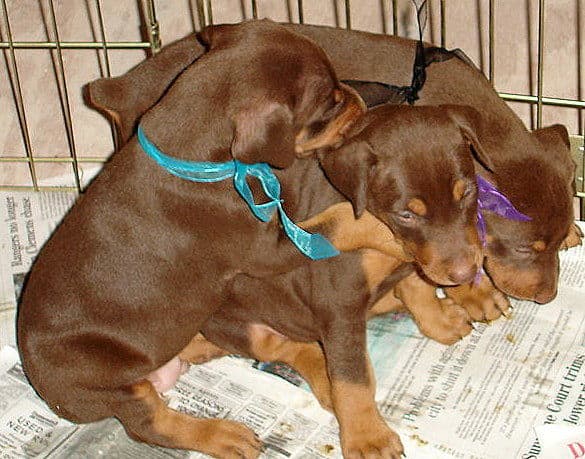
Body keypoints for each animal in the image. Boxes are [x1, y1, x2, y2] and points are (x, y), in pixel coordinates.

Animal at [17, 19, 364, 458]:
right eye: (329, 104)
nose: (359, 100)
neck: (192, 153)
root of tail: (44, 389)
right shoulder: (262, 250)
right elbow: (330, 224)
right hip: (105, 379)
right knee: (148, 424)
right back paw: (224, 435)